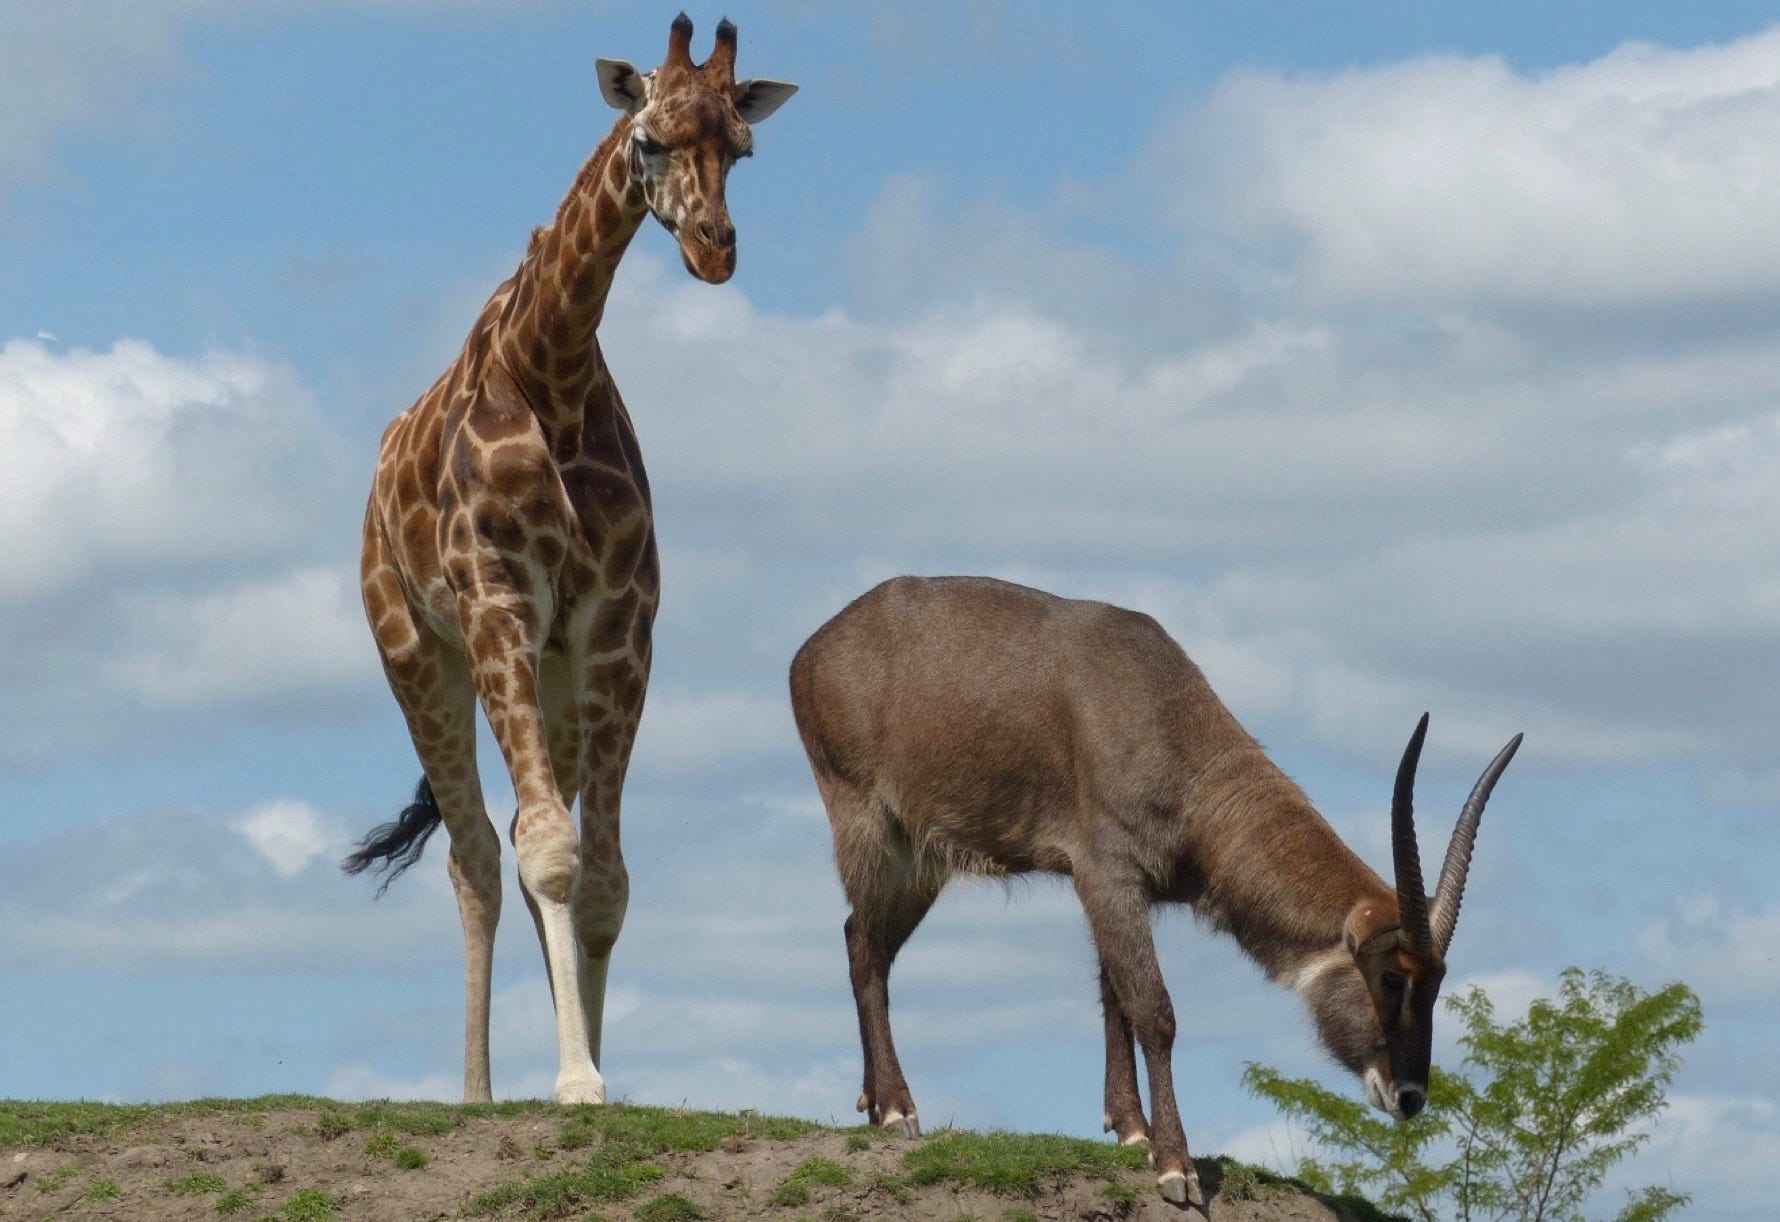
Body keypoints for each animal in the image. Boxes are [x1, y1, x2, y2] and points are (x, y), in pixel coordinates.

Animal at [341, 14, 801, 1102]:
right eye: (649, 139)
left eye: (742, 148)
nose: (714, 251)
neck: (548, 366)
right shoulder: (496, 601)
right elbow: (551, 851)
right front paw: (575, 1080)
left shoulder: (617, 624)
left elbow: (600, 876)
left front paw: (592, 1075)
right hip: (416, 653)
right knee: (475, 851)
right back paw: (474, 1092)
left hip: (551, 678)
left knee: (512, 834)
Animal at [790, 579, 1516, 1209]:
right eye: (1394, 976)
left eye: (1437, 981)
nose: (1411, 1096)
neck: (1165, 717)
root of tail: (813, 650)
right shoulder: (1107, 874)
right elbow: (1154, 1009)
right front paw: (1176, 1167)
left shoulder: (1121, 889)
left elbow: (1115, 994)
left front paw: (1131, 1128)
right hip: (875, 835)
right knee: (865, 950)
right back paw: (896, 1111)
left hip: (922, 862)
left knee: (863, 942)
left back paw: (872, 1101)